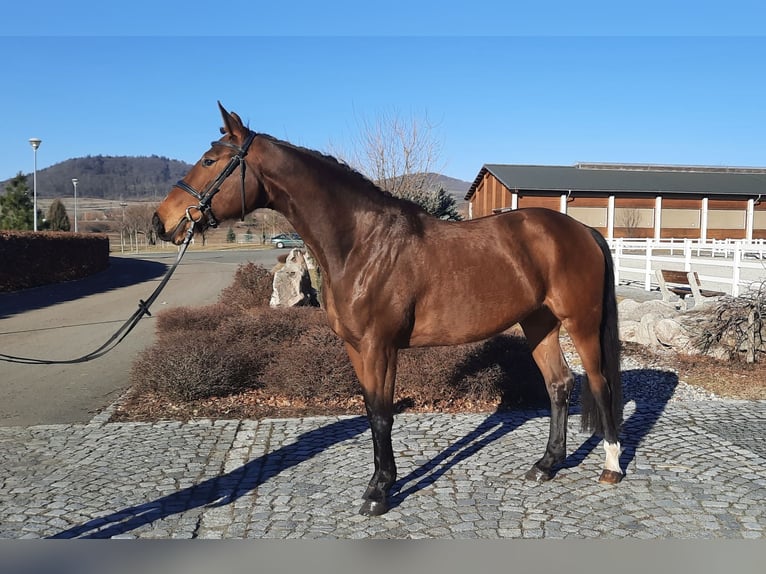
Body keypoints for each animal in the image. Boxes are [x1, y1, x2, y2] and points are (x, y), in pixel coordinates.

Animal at [153, 103, 628, 516]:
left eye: (210, 160)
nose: (161, 221)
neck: (363, 244)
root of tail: (582, 230)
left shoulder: (379, 346)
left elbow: (383, 415)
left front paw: (378, 493)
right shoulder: (355, 348)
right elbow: (370, 411)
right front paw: (383, 482)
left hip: (581, 323)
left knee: (600, 383)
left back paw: (610, 467)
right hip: (538, 323)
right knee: (559, 384)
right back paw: (546, 465)